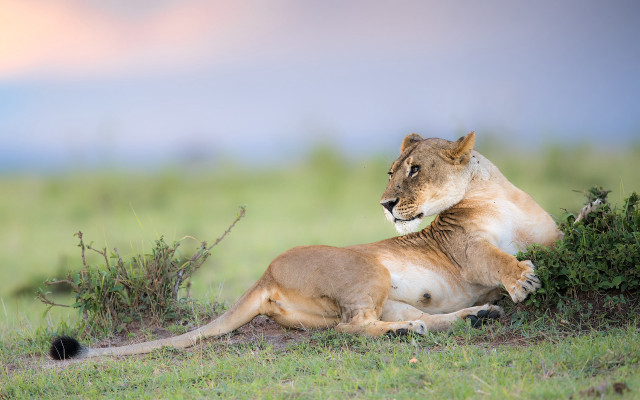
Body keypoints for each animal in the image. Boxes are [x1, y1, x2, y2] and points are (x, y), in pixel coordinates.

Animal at [50, 131, 562, 360]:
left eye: (415, 169)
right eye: (391, 171)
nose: (385, 204)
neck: (494, 191)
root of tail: (265, 273)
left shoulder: (549, 234)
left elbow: (566, 232)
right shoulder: (466, 250)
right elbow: (496, 257)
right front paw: (522, 279)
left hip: (390, 297)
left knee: (407, 319)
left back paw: (476, 316)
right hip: (368, 271)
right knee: (352, 327)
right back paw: (410, 332)